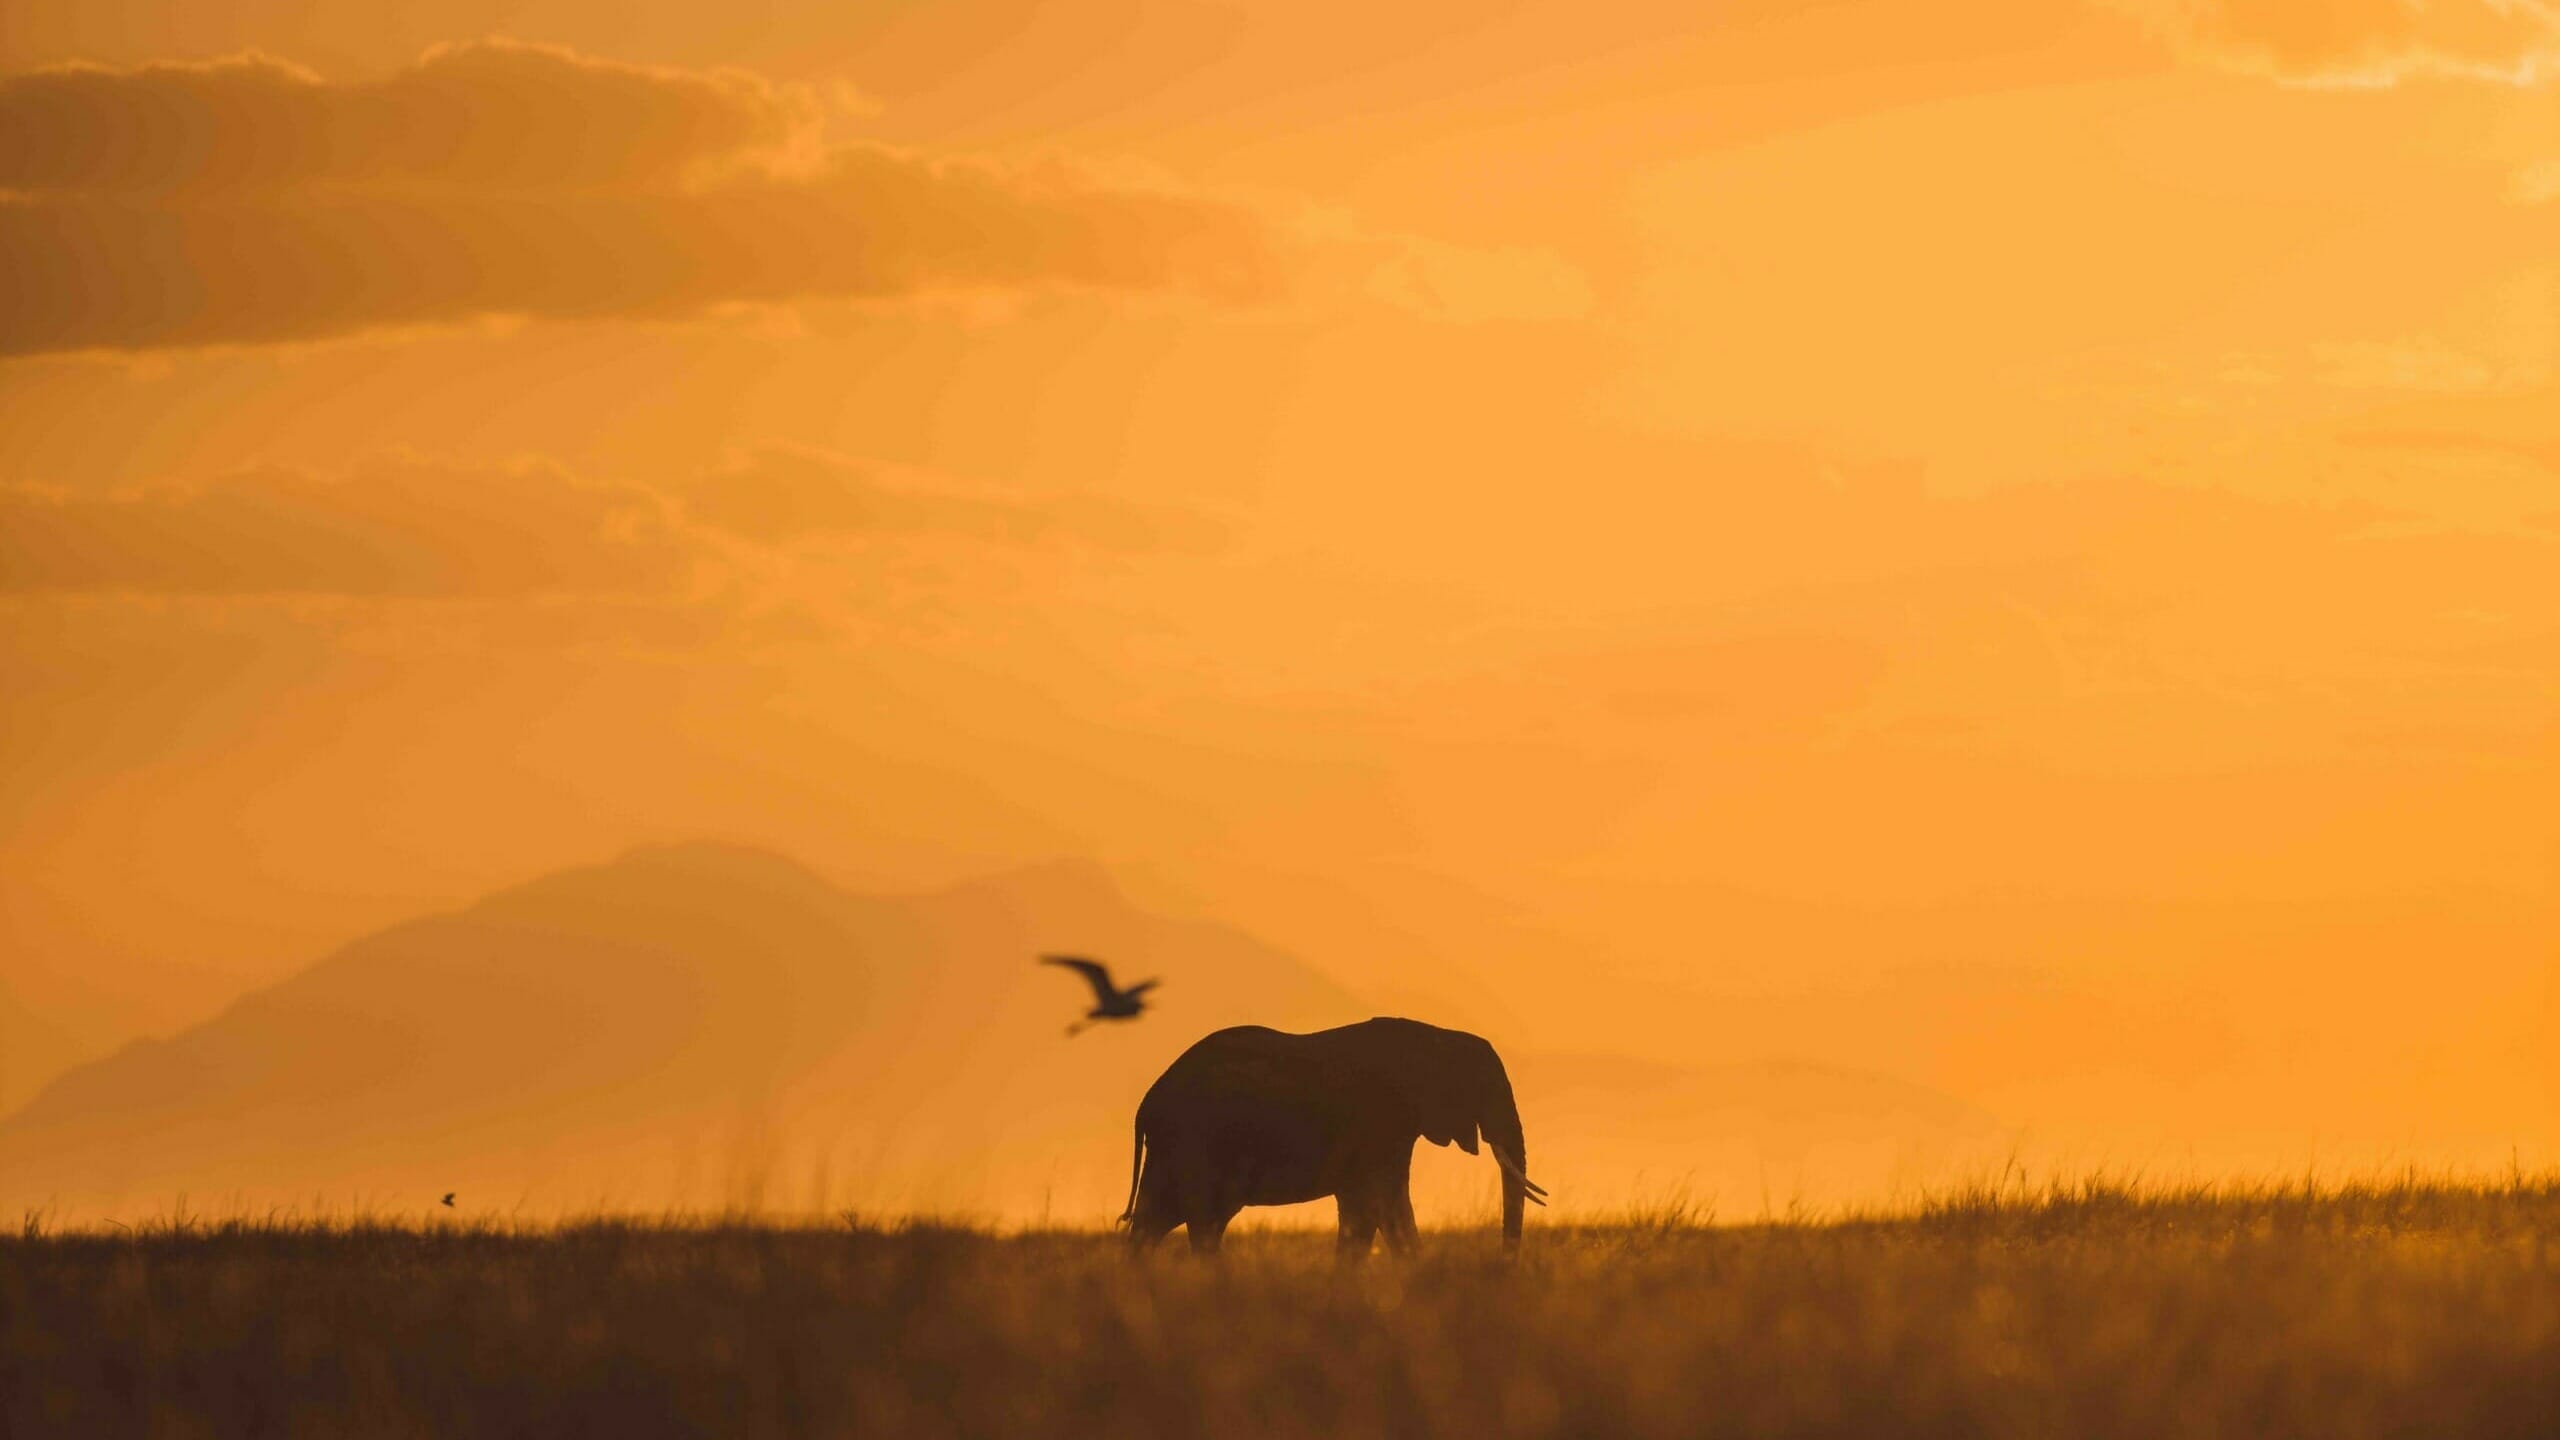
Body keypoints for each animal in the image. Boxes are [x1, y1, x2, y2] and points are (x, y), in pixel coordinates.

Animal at [1119, 1017, 1546, 1257]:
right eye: (1486, 1089)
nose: (1501, 1266)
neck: (1436, 1036)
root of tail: (1146, 1104)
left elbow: (1366, 1209)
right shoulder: (1380, 1121)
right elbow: (1382, 1205)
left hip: (1175, 1148)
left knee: (1156, 1220)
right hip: (1195, 1142)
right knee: (1200, 1221)